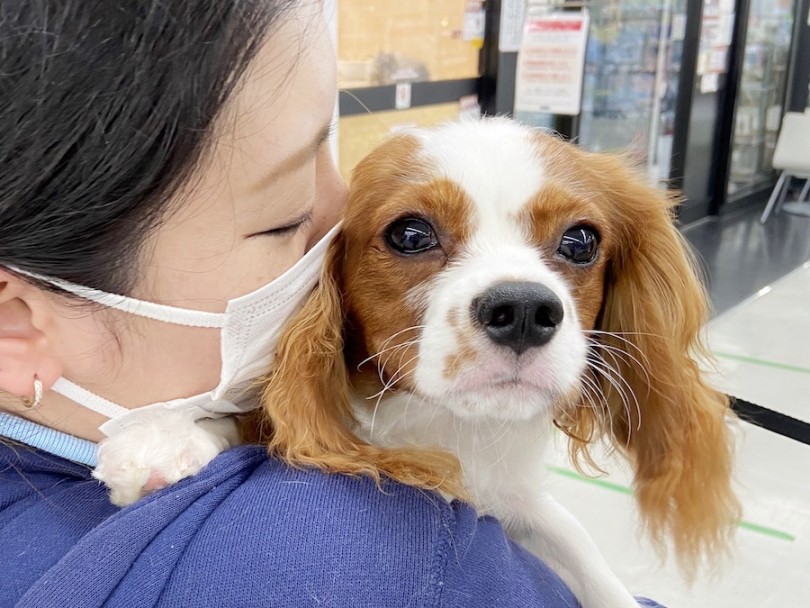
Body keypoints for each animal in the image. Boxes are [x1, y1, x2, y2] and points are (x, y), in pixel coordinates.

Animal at [258, 116, 740, 604]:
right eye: (410, 235)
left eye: (581, 241)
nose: (525, 310)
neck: (455, 430)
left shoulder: (521, 499)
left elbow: (577, 544)